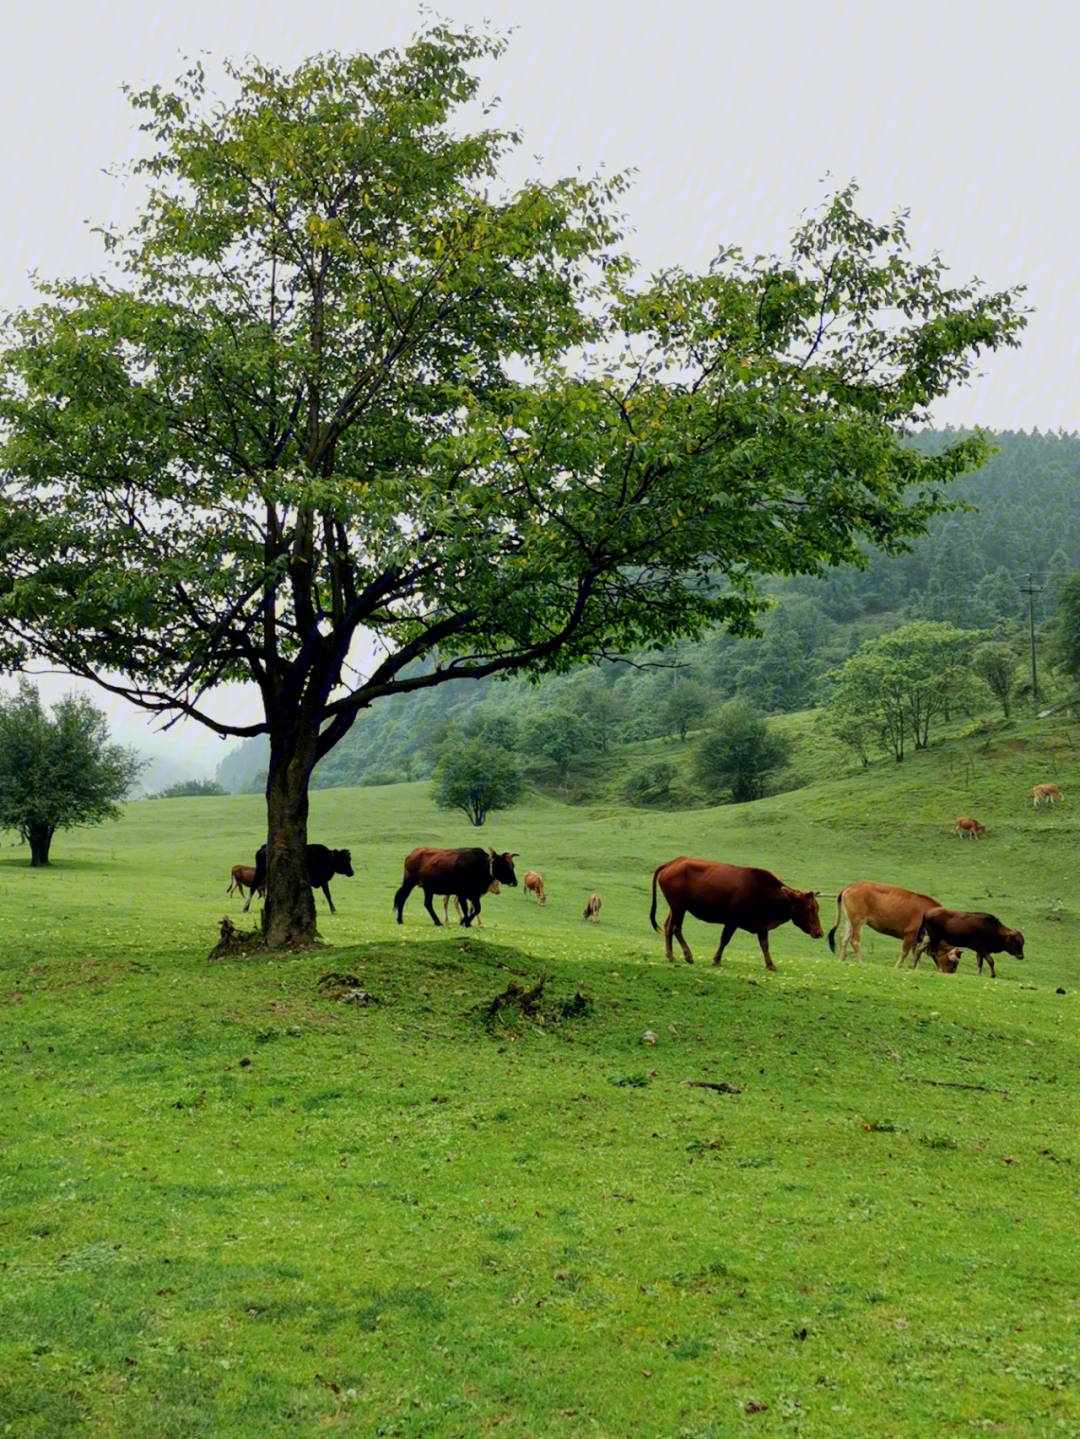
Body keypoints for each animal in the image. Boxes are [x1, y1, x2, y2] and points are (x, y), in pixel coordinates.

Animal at [650, 857, 816, 972]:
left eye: (817, 908)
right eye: (809, 908)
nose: (819, 932)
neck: (765, 892)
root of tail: (672, 863)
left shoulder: (762, 926)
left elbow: (764, 945)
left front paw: (771, 965)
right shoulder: (733, 920)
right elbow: (725, 939)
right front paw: (716, 960)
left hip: (676, 908)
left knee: (668, 927)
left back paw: (671, 955)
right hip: (679, 907)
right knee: (675, 927)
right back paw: (687, 955)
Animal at [828, 874, 960, 967]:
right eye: (954, 963)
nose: (950, 973)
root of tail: (850, 886)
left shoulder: (918, 940)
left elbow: (917, 956)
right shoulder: (911, 934)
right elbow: (905, 953)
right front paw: (897, 967)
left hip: (850, 920)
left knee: (843, 937)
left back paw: (841, 960)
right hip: (858, 921)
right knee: (854, 940)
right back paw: (861, 962)